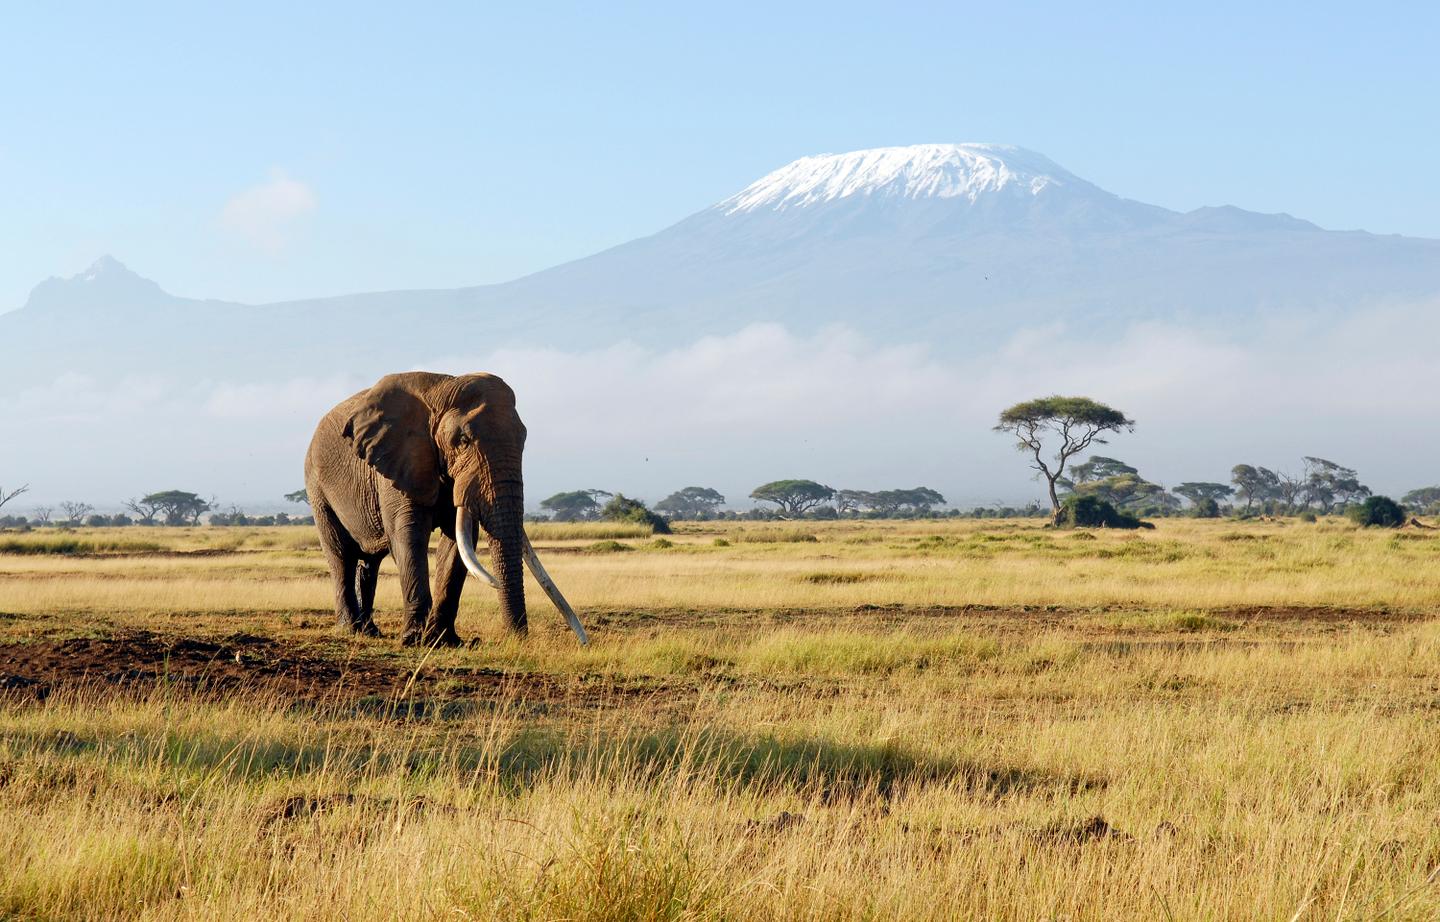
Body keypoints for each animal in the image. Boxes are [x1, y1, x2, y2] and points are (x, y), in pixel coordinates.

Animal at [304, 371, 588, 647]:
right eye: (462, 440)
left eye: (524, 439)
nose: (517, 639)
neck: (441, 390)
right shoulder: (401, 461)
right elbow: (409, 535)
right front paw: (414, 640)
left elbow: (458, 542)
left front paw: (444, 640)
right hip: (316, 486)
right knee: (341, 555)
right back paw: (350, 629)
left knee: (369, 563)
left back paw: (370, 631)